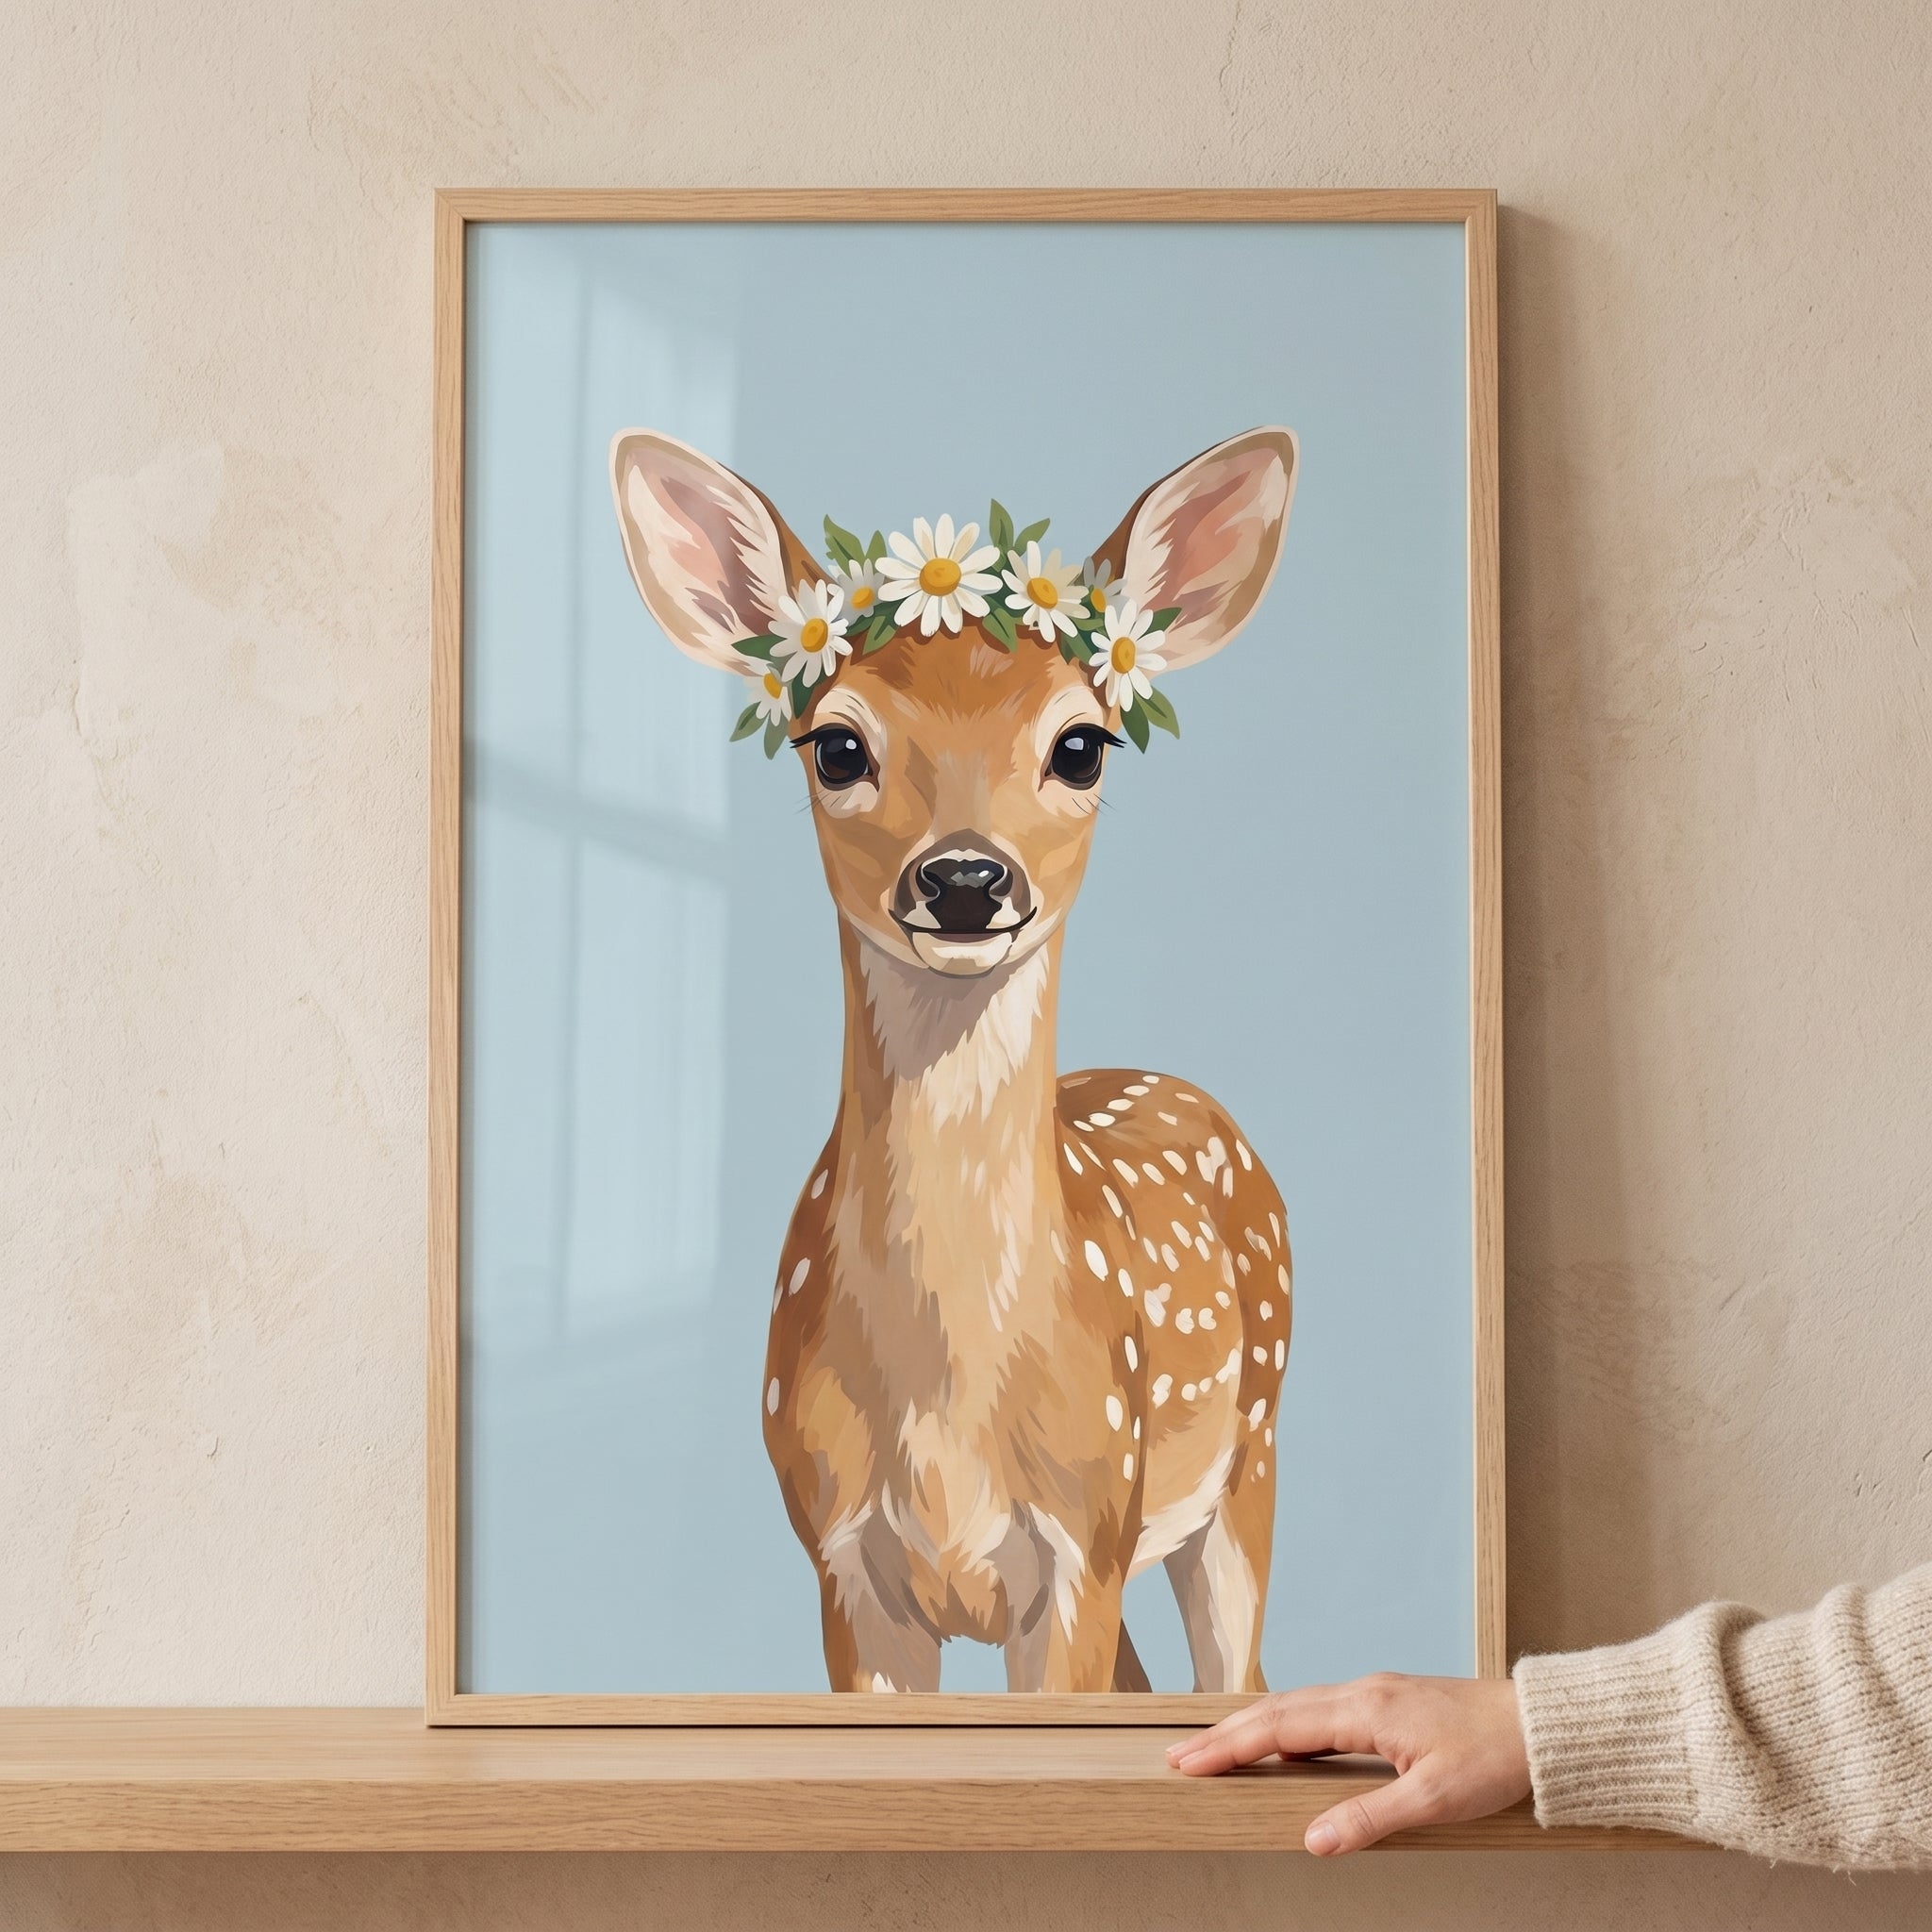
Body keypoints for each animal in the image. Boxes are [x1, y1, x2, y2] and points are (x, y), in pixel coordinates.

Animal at [610, 426, 1297, 1695]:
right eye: (836, 743)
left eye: (1080, 742)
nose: (967, 877)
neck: (949, 1416)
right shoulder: (842, 1561)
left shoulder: (1082, 1538)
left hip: (1247, 1450)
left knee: (1235, 1672)